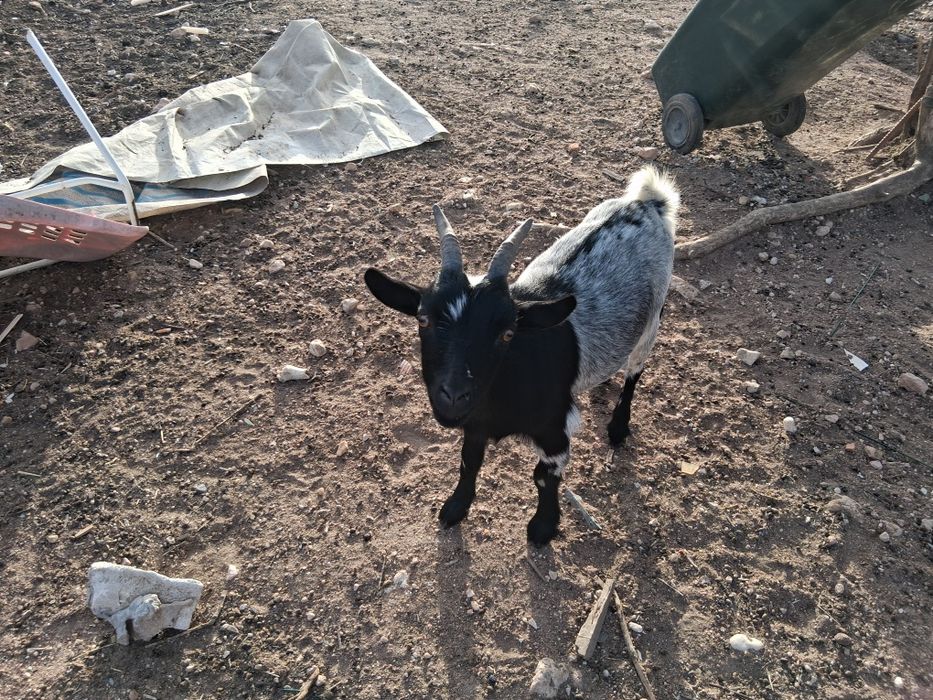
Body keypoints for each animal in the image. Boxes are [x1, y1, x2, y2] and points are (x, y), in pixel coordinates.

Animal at [364, 166, 678, 546]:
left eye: (508, 333)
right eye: (422, 319)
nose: (453, 395)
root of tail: (646, 203)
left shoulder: (555, 429)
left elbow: (543, 476)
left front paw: (543, 528)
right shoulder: (475, 421)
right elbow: (469, 461)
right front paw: (455, 508)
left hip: (653, 316)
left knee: (635, 369)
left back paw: (618, 427)